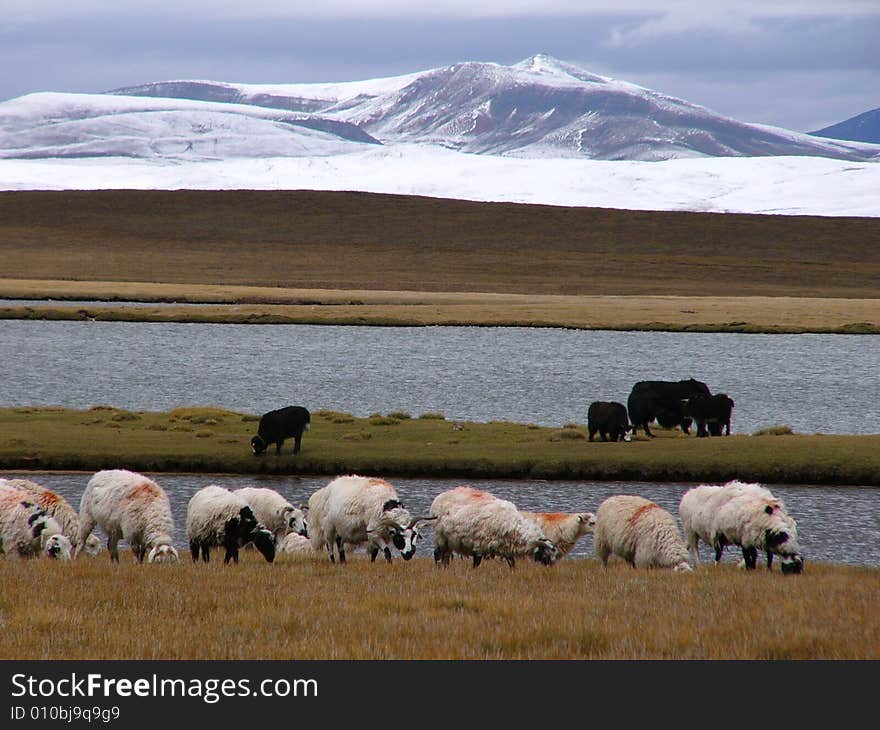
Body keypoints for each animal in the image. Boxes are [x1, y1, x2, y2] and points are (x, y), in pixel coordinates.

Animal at [430, 484, 560, 568]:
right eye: (550, 551)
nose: (551, 566)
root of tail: (439, 497)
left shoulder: (505, 546)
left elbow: (512, 563)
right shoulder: (479, 544)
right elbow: (476, 563)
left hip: (448, 541)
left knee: (445, 556)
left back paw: (445, 568)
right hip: (440, 536)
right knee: (437, 555)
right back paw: (439, 568)